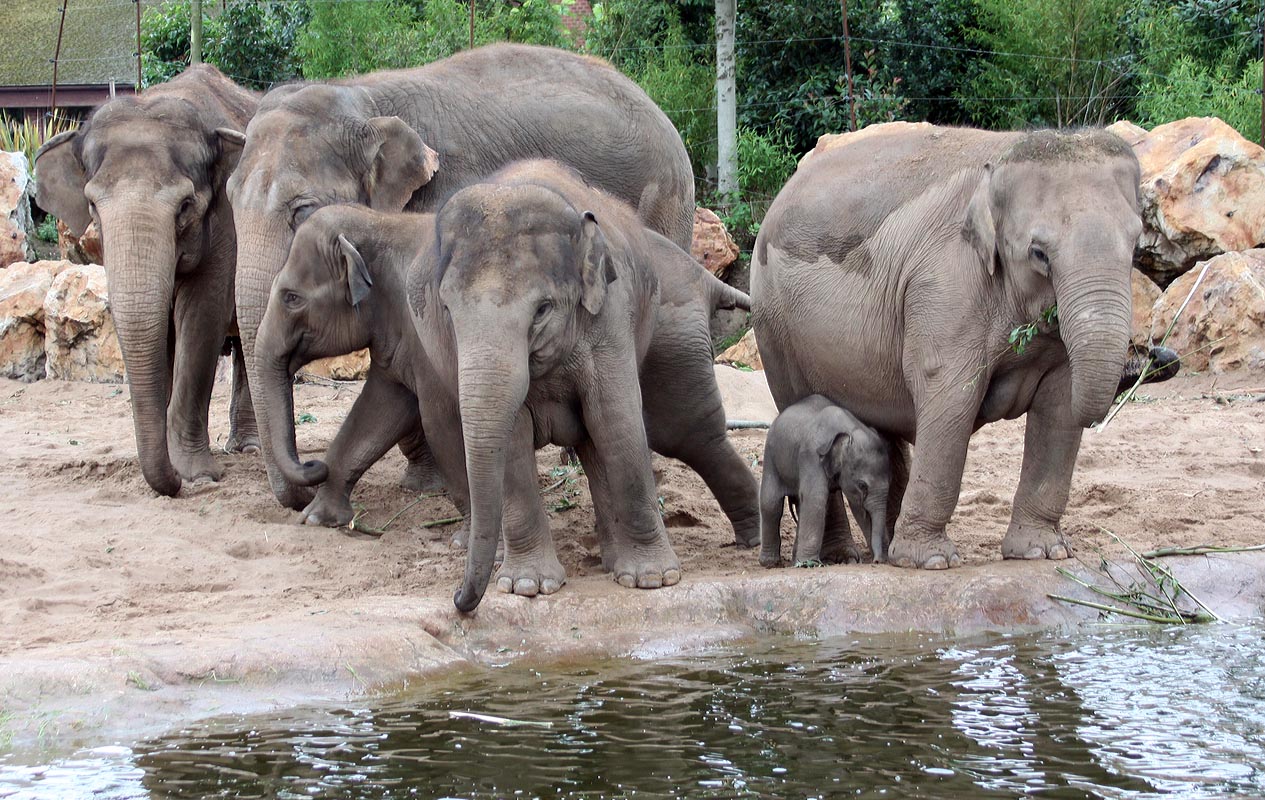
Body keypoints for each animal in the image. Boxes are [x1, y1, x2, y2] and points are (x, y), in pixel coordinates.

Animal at [35, 65, 258, 496]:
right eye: (91, 205)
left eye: (186, 206)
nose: (174, 484)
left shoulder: (226, 223)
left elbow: (201, 316)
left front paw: (196, 473)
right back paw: (242, 447)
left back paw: (251, 450)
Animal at [219, 43, 696, 511]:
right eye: (228, 198)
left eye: (302, 211)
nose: (309, 469)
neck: (364, 98)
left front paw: (429, 482)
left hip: (667, 204)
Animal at [405, 160, 759, 612]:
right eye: (447, 310)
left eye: (542, 308)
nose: (457, 599)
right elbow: (513, 440)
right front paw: (528, 587)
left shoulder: (608, 314)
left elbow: (616, 419)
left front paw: (653, 580)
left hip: (672, 328)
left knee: (686, 431)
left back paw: (751, 539)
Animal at [759, 395, 893, 567]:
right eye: (862, 485)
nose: (877, 561)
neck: (848, 429)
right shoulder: (811, 457)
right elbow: (816, 498)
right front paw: (809, 564)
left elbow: (858, 509)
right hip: (771, 457)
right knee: (771, 503)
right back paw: (771, 563)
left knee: (800, 506)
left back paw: (795, 562)